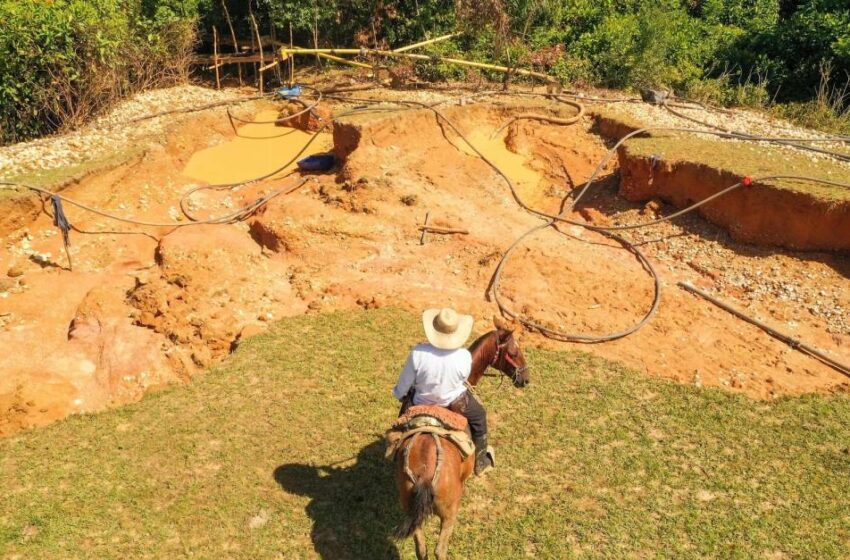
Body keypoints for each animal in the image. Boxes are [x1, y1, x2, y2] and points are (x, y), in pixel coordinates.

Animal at [394, 320, 528, 560]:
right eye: (514, 352)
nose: (525, 379)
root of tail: (425, 475)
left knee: (421, 549)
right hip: (449, 514)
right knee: (439, 550)